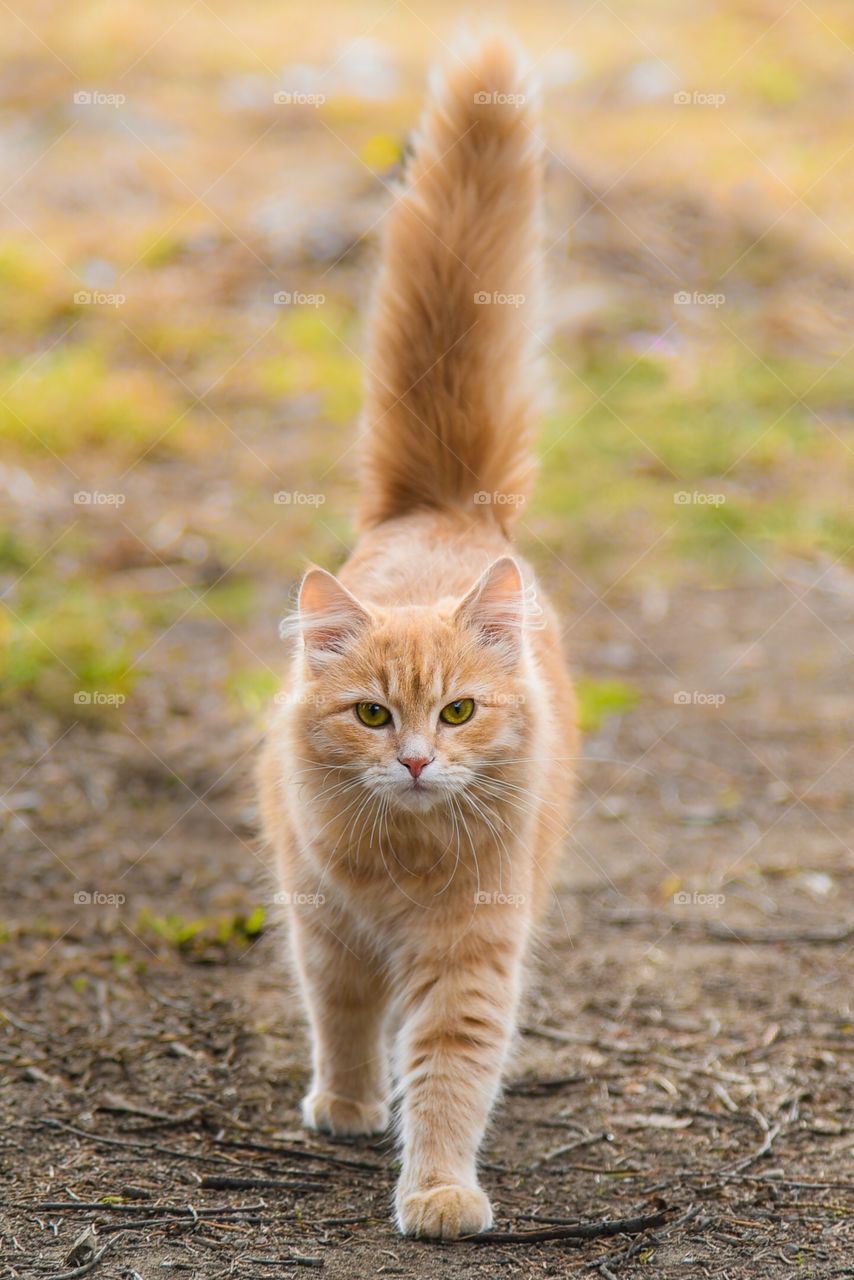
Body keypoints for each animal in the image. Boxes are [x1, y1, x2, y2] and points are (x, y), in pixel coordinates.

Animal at [258, 32, 581, 1239]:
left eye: (456, 711)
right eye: (368, 714)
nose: (410, 760)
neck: (403, 865)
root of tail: (443, 506)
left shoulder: (471, 950)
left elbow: (446, 1070)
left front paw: (437, 1186)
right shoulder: (325, 923)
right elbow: (346, 1020)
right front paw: (349, 1106)